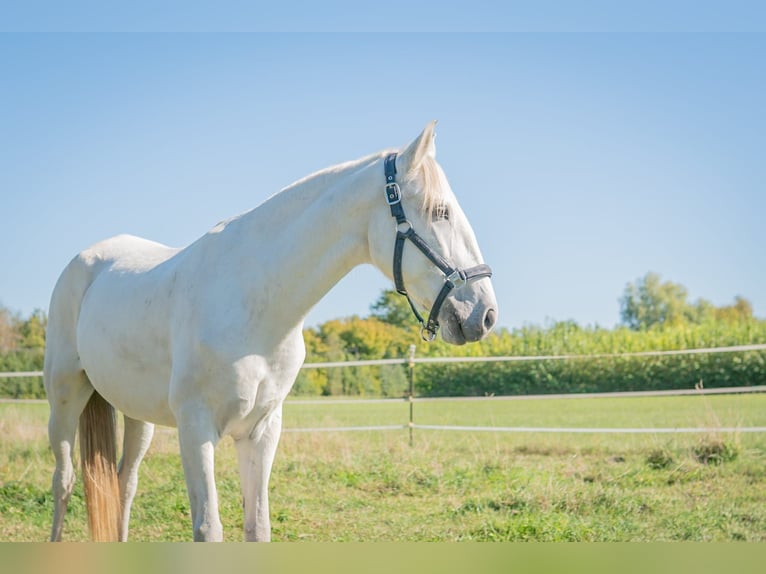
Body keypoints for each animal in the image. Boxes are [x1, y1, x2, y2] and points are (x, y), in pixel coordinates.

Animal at [43, 122, 498, 542]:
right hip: (65, 398)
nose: (485, 314)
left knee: (124, 483)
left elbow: (257, 527)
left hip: (137, 415)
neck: (255, 303)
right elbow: (208, 528)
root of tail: (85, 260)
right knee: (64, 481)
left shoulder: (261, 431)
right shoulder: (196, 429)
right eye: (440, 212)